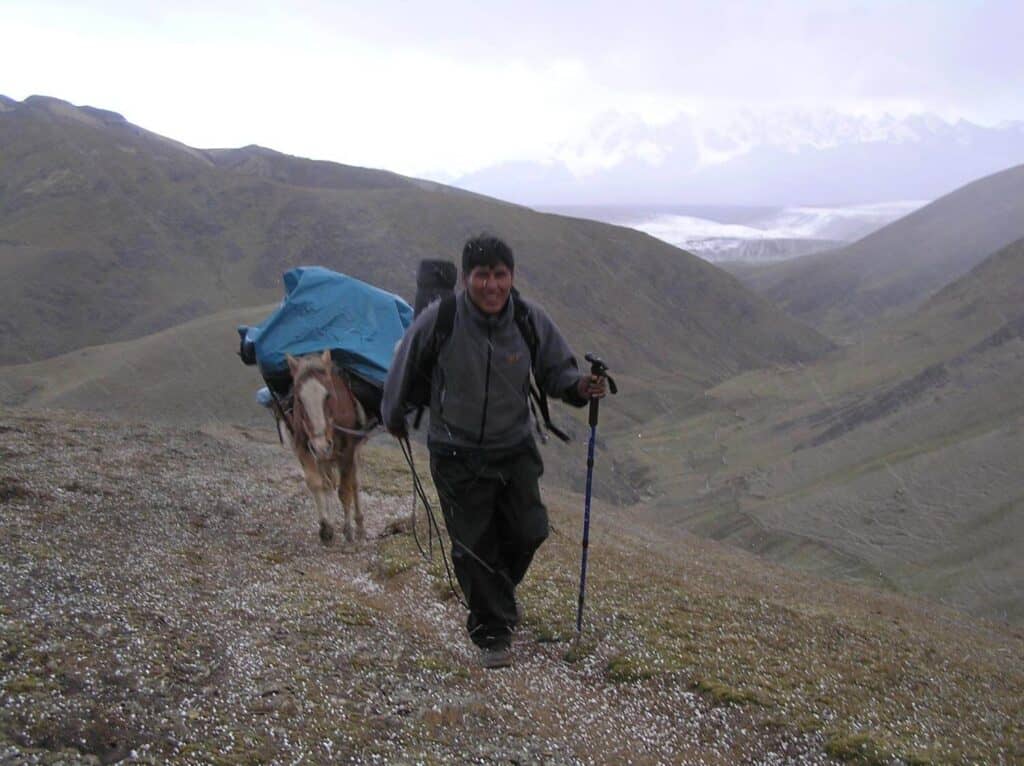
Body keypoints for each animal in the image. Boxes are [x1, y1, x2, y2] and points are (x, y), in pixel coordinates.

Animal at [284, 350, 368, 540]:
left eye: (328, 395)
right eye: (299, 399)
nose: (322, 445)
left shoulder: (347, 452)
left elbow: (345, 490)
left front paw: (348, 530)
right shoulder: (304, 448)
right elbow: (316, 483)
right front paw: (326, 527)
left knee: (354, 483)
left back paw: (359, 525)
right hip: (325, 458)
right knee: (328, 483)